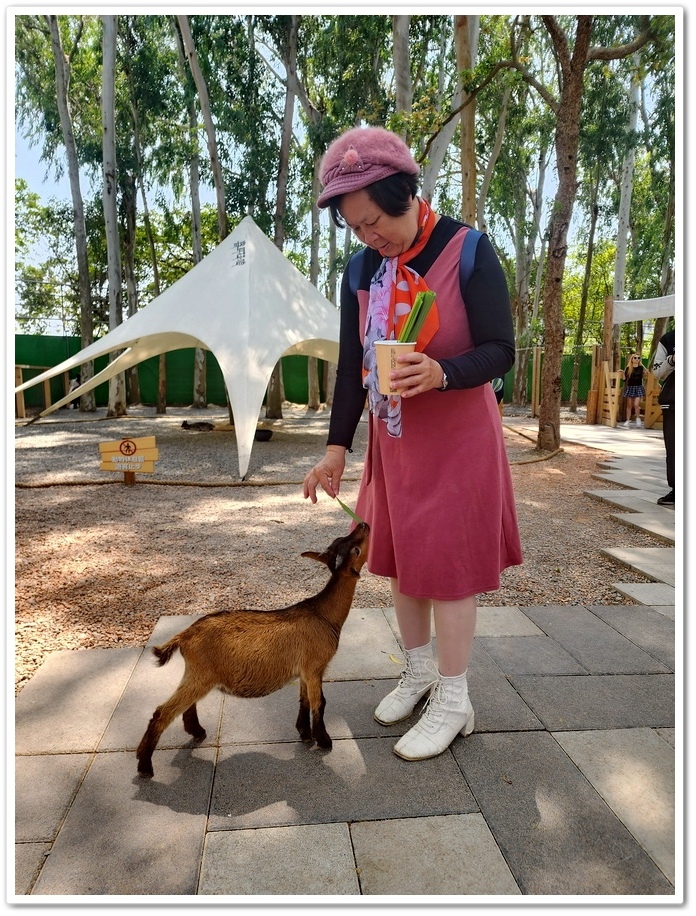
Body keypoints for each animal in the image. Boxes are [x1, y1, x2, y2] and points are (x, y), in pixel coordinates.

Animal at [138, 524, 372, 780]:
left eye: (342, 539)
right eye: (357, 550)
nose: (363, 525)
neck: (323, 614)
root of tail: (185, 635)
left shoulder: (305, 670)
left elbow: (304, 700)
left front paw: (304, 734)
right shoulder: (314, 667)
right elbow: (319, 702)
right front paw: (324, 741)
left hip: (197, 675)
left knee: (186, 704)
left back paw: (196, 732)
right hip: (201, 675)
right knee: (162, 712)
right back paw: (144, 766)